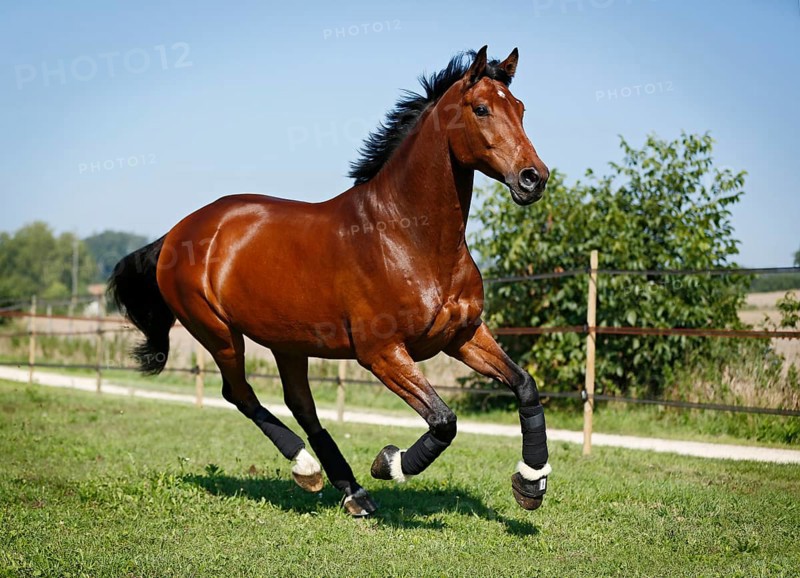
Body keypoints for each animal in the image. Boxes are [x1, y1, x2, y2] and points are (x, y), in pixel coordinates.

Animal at [109, 46, 551, 517]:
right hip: (219, 334)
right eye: (481, 108)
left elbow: (525, 385)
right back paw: (309, 469)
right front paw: (389, 463)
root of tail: (178, 232)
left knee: (300, 404)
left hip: (287, 341)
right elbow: (443, 420)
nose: (533, 178)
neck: (409, 237)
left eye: (521, 109)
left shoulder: (463, 335)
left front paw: (531, 483)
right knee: (240, 394)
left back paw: (349, 489)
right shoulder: (382, 353)